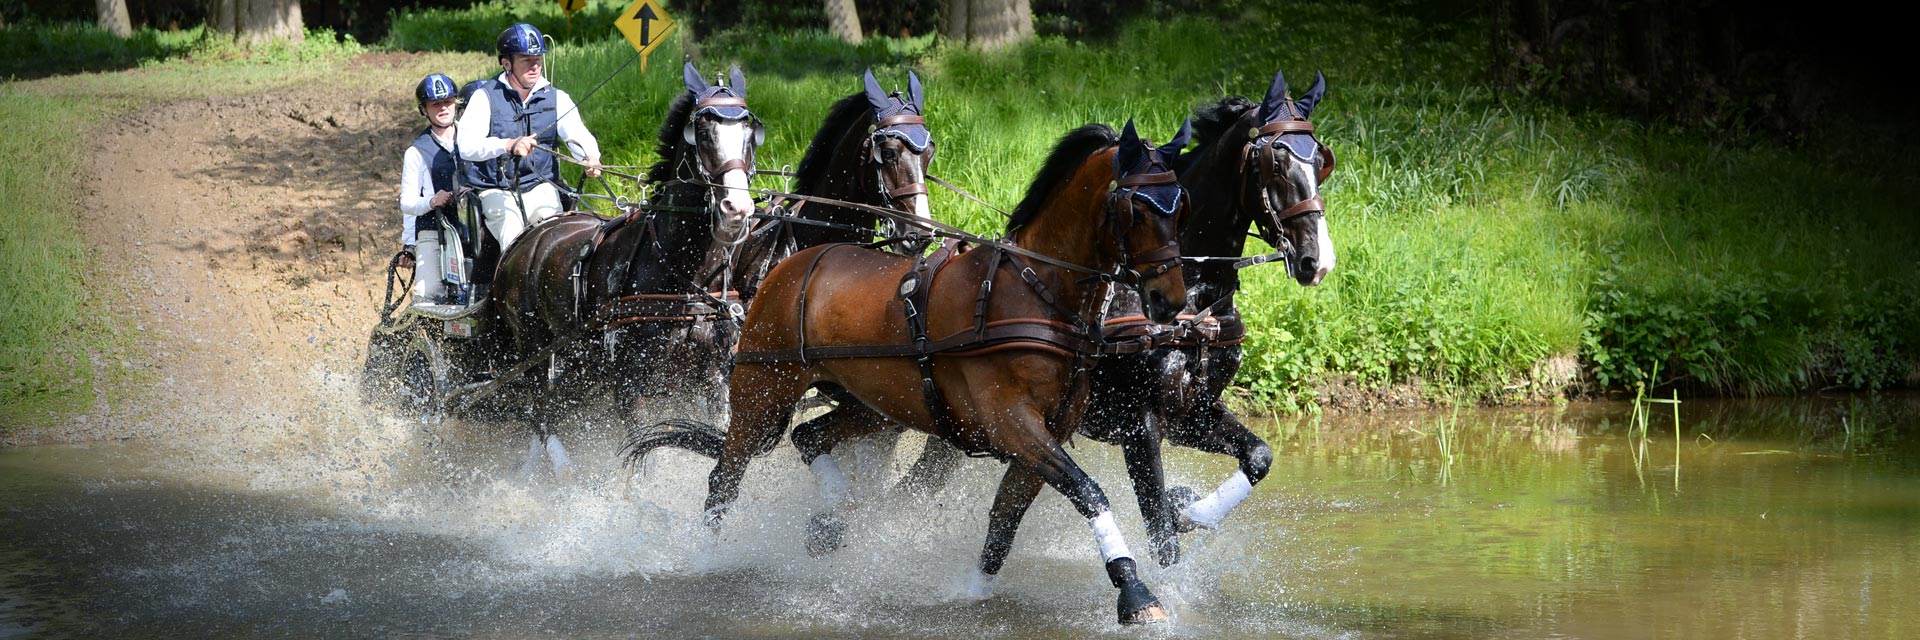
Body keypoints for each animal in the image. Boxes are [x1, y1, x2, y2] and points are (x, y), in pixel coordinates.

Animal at [483, 62, 764, 477]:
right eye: (701, 132)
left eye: (750, 132)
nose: (736, 208)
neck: (684, 279)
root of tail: (524, 240)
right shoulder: (631, 385)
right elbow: (650, 457)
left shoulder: (712, 378)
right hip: (532, 348)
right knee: (541, 413)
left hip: (577, 360)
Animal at [643, 119, 1194, 624]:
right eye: (1138, 207)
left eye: (1180, 202)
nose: (1170, 300)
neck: (1033, 293)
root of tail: (788, 267)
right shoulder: (1014, 425)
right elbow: (1088, 492)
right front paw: (1135, 592)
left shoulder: (1045, 435)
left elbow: (1005, 519)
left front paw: (972, 592)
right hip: (762, 394)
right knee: (724, 479)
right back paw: (708, 559)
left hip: (876, 406)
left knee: (809, 436)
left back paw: (831, 519)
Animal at [899, 70, 1338, 567]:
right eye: (1275, 163)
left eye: (1321, 161)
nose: (1317, 260)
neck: (1193, 298)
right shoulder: (1140, 425)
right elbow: (1162, 538)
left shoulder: (1191, 414)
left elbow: (1258, 457)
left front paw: (1192, 512)